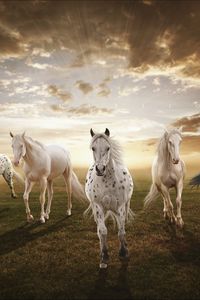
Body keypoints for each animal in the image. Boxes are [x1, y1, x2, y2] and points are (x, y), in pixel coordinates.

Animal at [85, 127, 134, 268]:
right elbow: (102, 231)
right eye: (93, 148)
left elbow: (121, 231)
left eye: (108, 148)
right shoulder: (98, 207)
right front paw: (104, 257)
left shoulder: (121, 207)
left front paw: (124, 252)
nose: (100, 169)